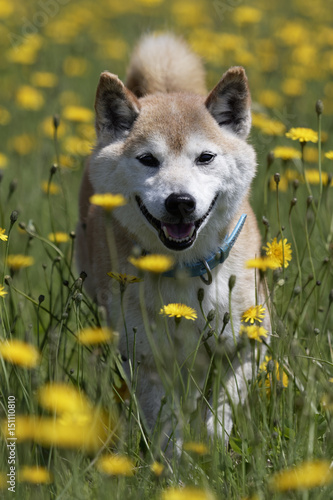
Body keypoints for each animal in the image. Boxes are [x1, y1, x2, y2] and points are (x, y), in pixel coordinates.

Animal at [76, 32, 266, 450]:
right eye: (148, 159)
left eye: (205, 157)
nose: (180, 201)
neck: (184, 272)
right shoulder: (145, 360)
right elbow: (166, 431)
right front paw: (177, 464)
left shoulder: (248, 346)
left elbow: (219, 414)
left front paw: (213, 452)